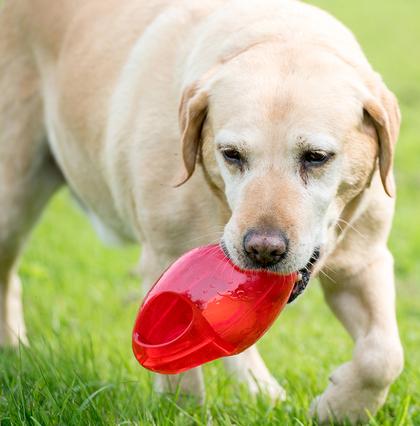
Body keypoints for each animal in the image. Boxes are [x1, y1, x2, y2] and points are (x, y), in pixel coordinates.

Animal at [0, 0, 404, 422]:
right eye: (232, 154)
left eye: (316, 157)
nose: (262, 249)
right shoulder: (164, 258)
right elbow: (182, 377)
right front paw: (182, 413)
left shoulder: (364, 261)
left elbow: (383, 355)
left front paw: (340, 408)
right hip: (12, 196)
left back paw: (261, 391)